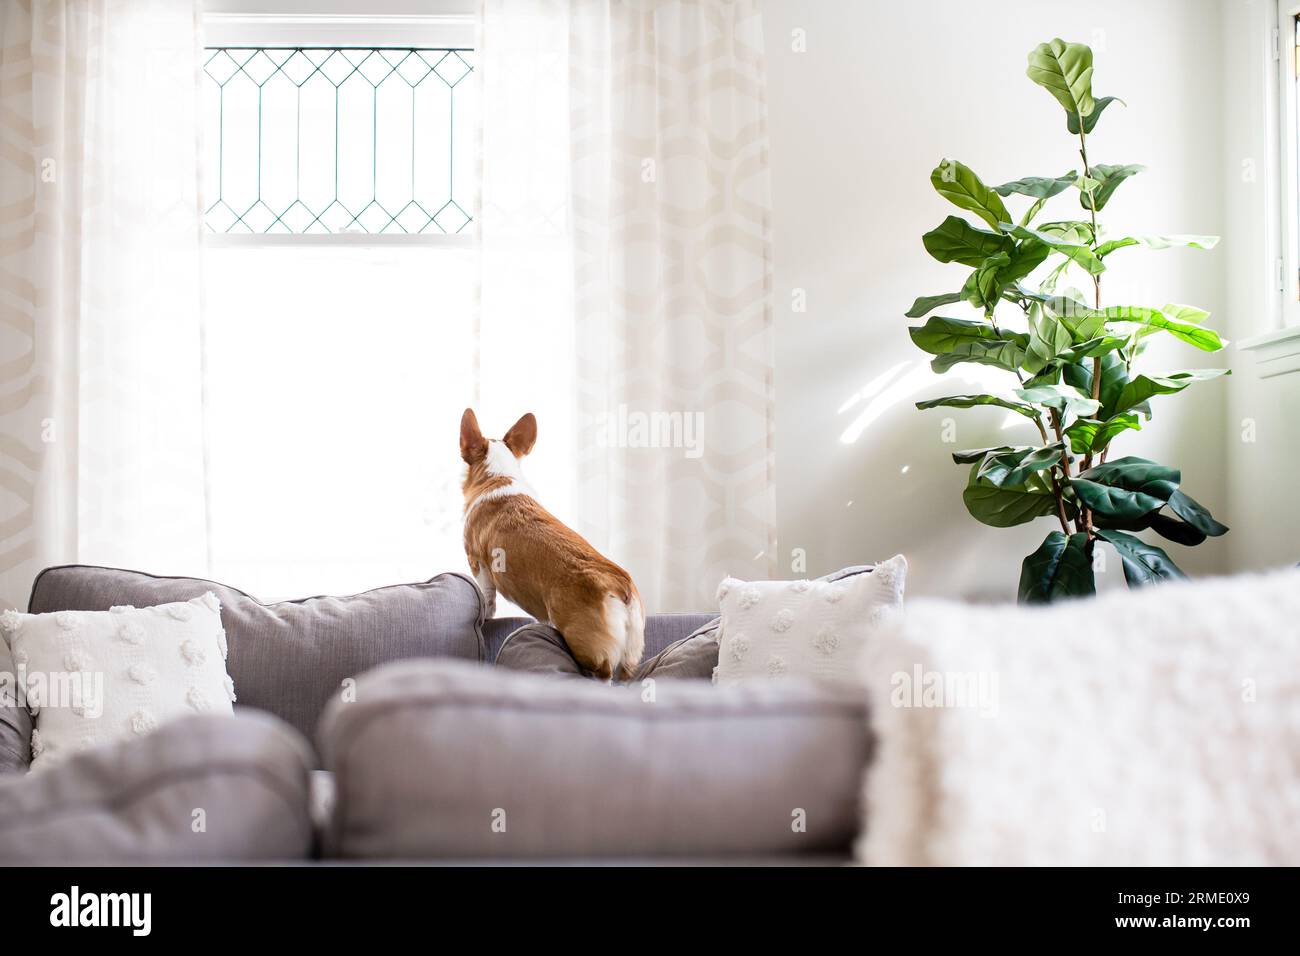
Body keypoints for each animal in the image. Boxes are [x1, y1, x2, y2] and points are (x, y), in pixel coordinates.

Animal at [460, 408, 647, 681]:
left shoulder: (478, 563)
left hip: (587, 646)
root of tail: (621, 586)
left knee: (601, 672)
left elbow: (487, 596)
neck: (499, 476)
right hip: (631, 656)